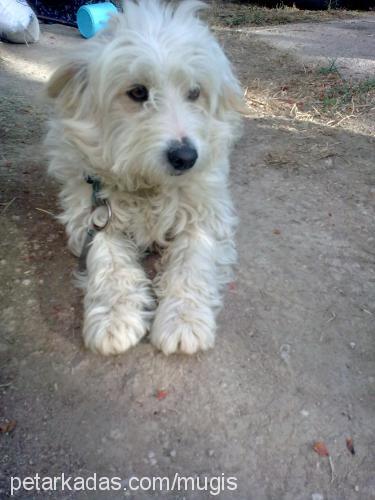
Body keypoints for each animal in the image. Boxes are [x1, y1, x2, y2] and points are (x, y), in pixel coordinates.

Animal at [45, 0, 245, 356]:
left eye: (195, 92)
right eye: (138, 92)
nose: (185, 157)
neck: (149, 185)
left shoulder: (207, 215)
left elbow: (193, 261)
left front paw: (184, 321)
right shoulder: (93, 215)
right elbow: (109, 262)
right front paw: (115, 318)